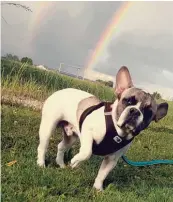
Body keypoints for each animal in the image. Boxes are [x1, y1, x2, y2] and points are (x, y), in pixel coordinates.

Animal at [37, 66, 168, 191]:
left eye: (148, 112)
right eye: (128, 101)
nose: (135, 111)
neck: (118, 132)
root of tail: (61, 91)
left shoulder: (112, 159)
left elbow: (103, 174)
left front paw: (97, 188)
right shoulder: (88, 130)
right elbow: (87, 152)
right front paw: (76, 162)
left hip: (71, 137)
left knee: (61, 146)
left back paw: (61, 164)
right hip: (48, 127)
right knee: (42, 147)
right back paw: (41, 164)